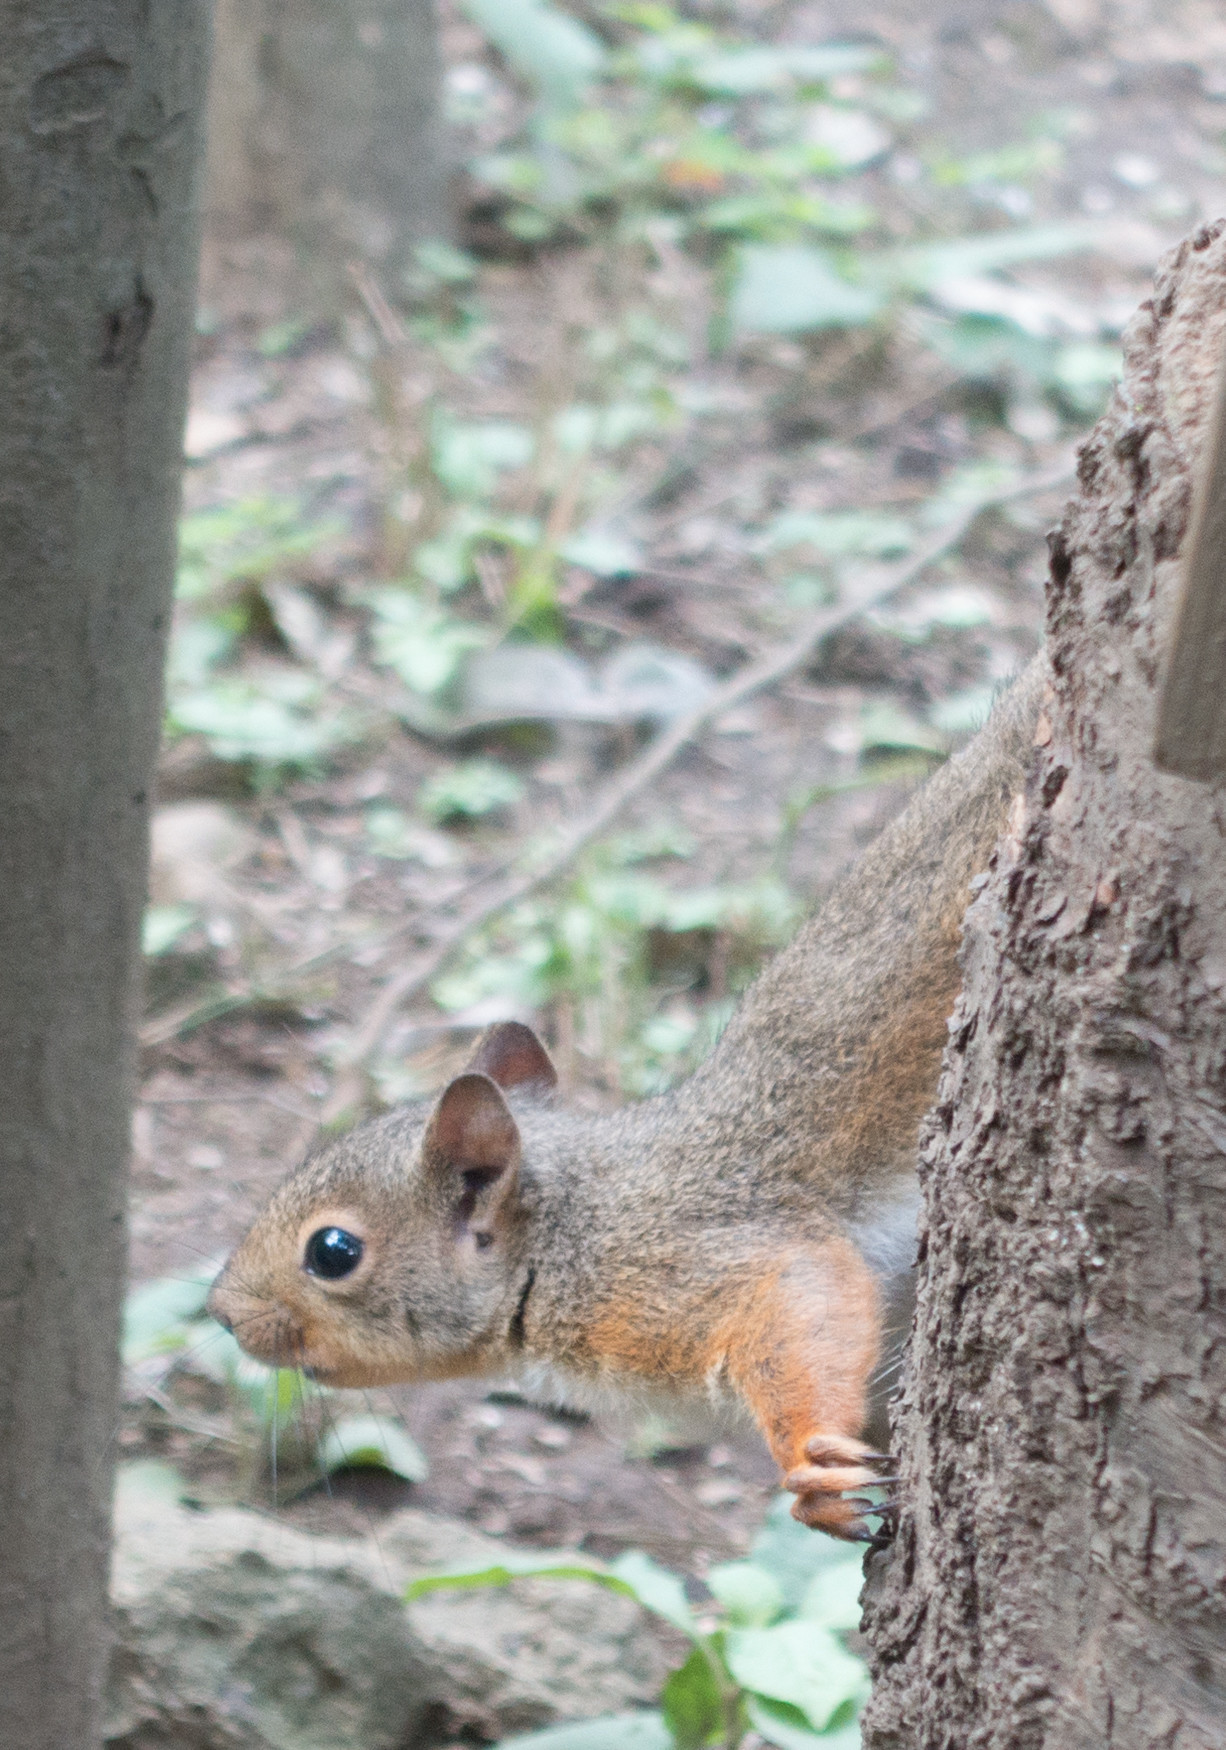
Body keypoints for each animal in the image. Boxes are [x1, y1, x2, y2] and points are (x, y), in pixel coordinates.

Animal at [208, 654, 1042, 1533]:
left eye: (332, 1251)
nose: (222, 1312)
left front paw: (813, 1469)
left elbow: (801, 1296)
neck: (570, 1237)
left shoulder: (691, 1258)